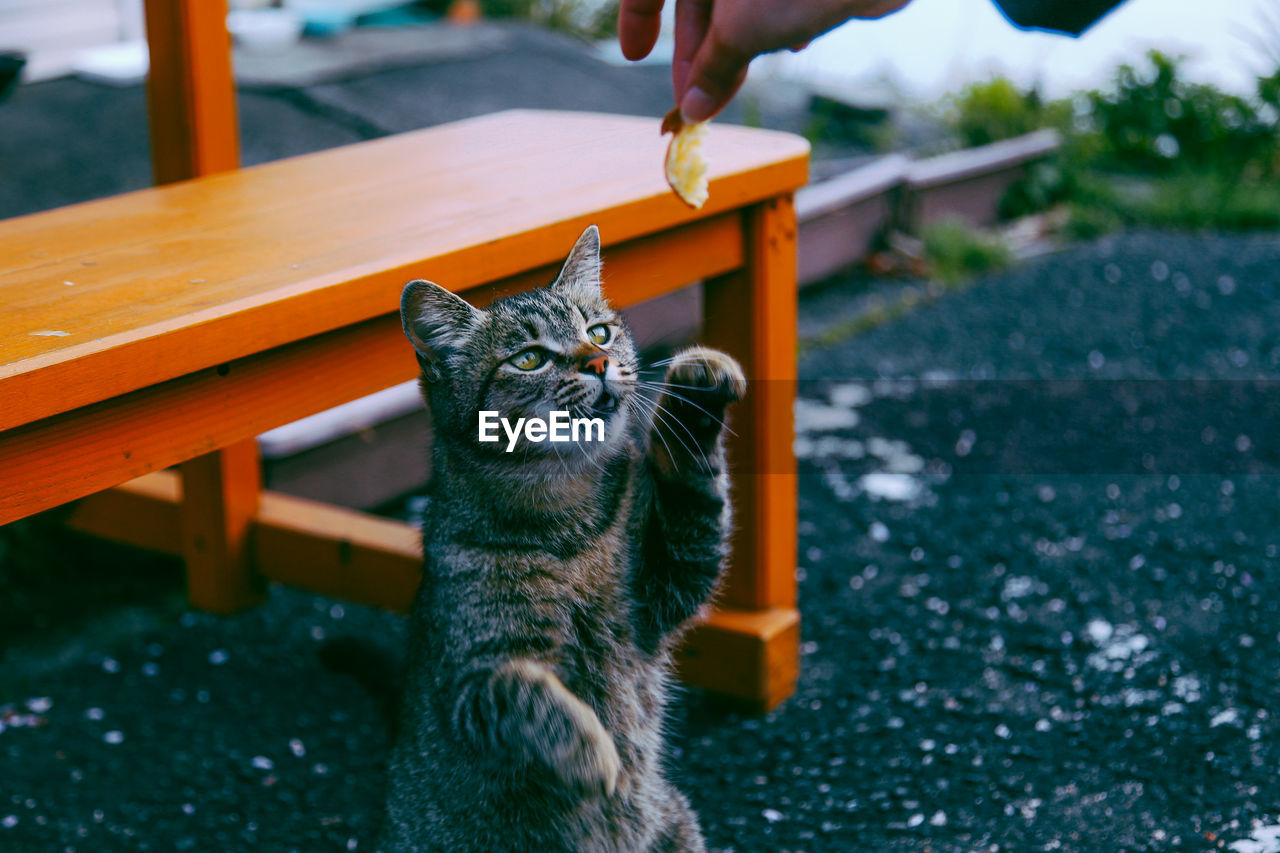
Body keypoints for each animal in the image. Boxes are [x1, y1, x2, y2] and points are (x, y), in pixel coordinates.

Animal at [373, 222, 747, 845]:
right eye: (529, 359)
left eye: (599, 332)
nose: (597, 362)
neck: (567, 526)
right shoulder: (468, 681)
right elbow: (521, 692)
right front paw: (590, 753)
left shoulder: (668, 583)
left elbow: (695, 495)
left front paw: (698, 391)